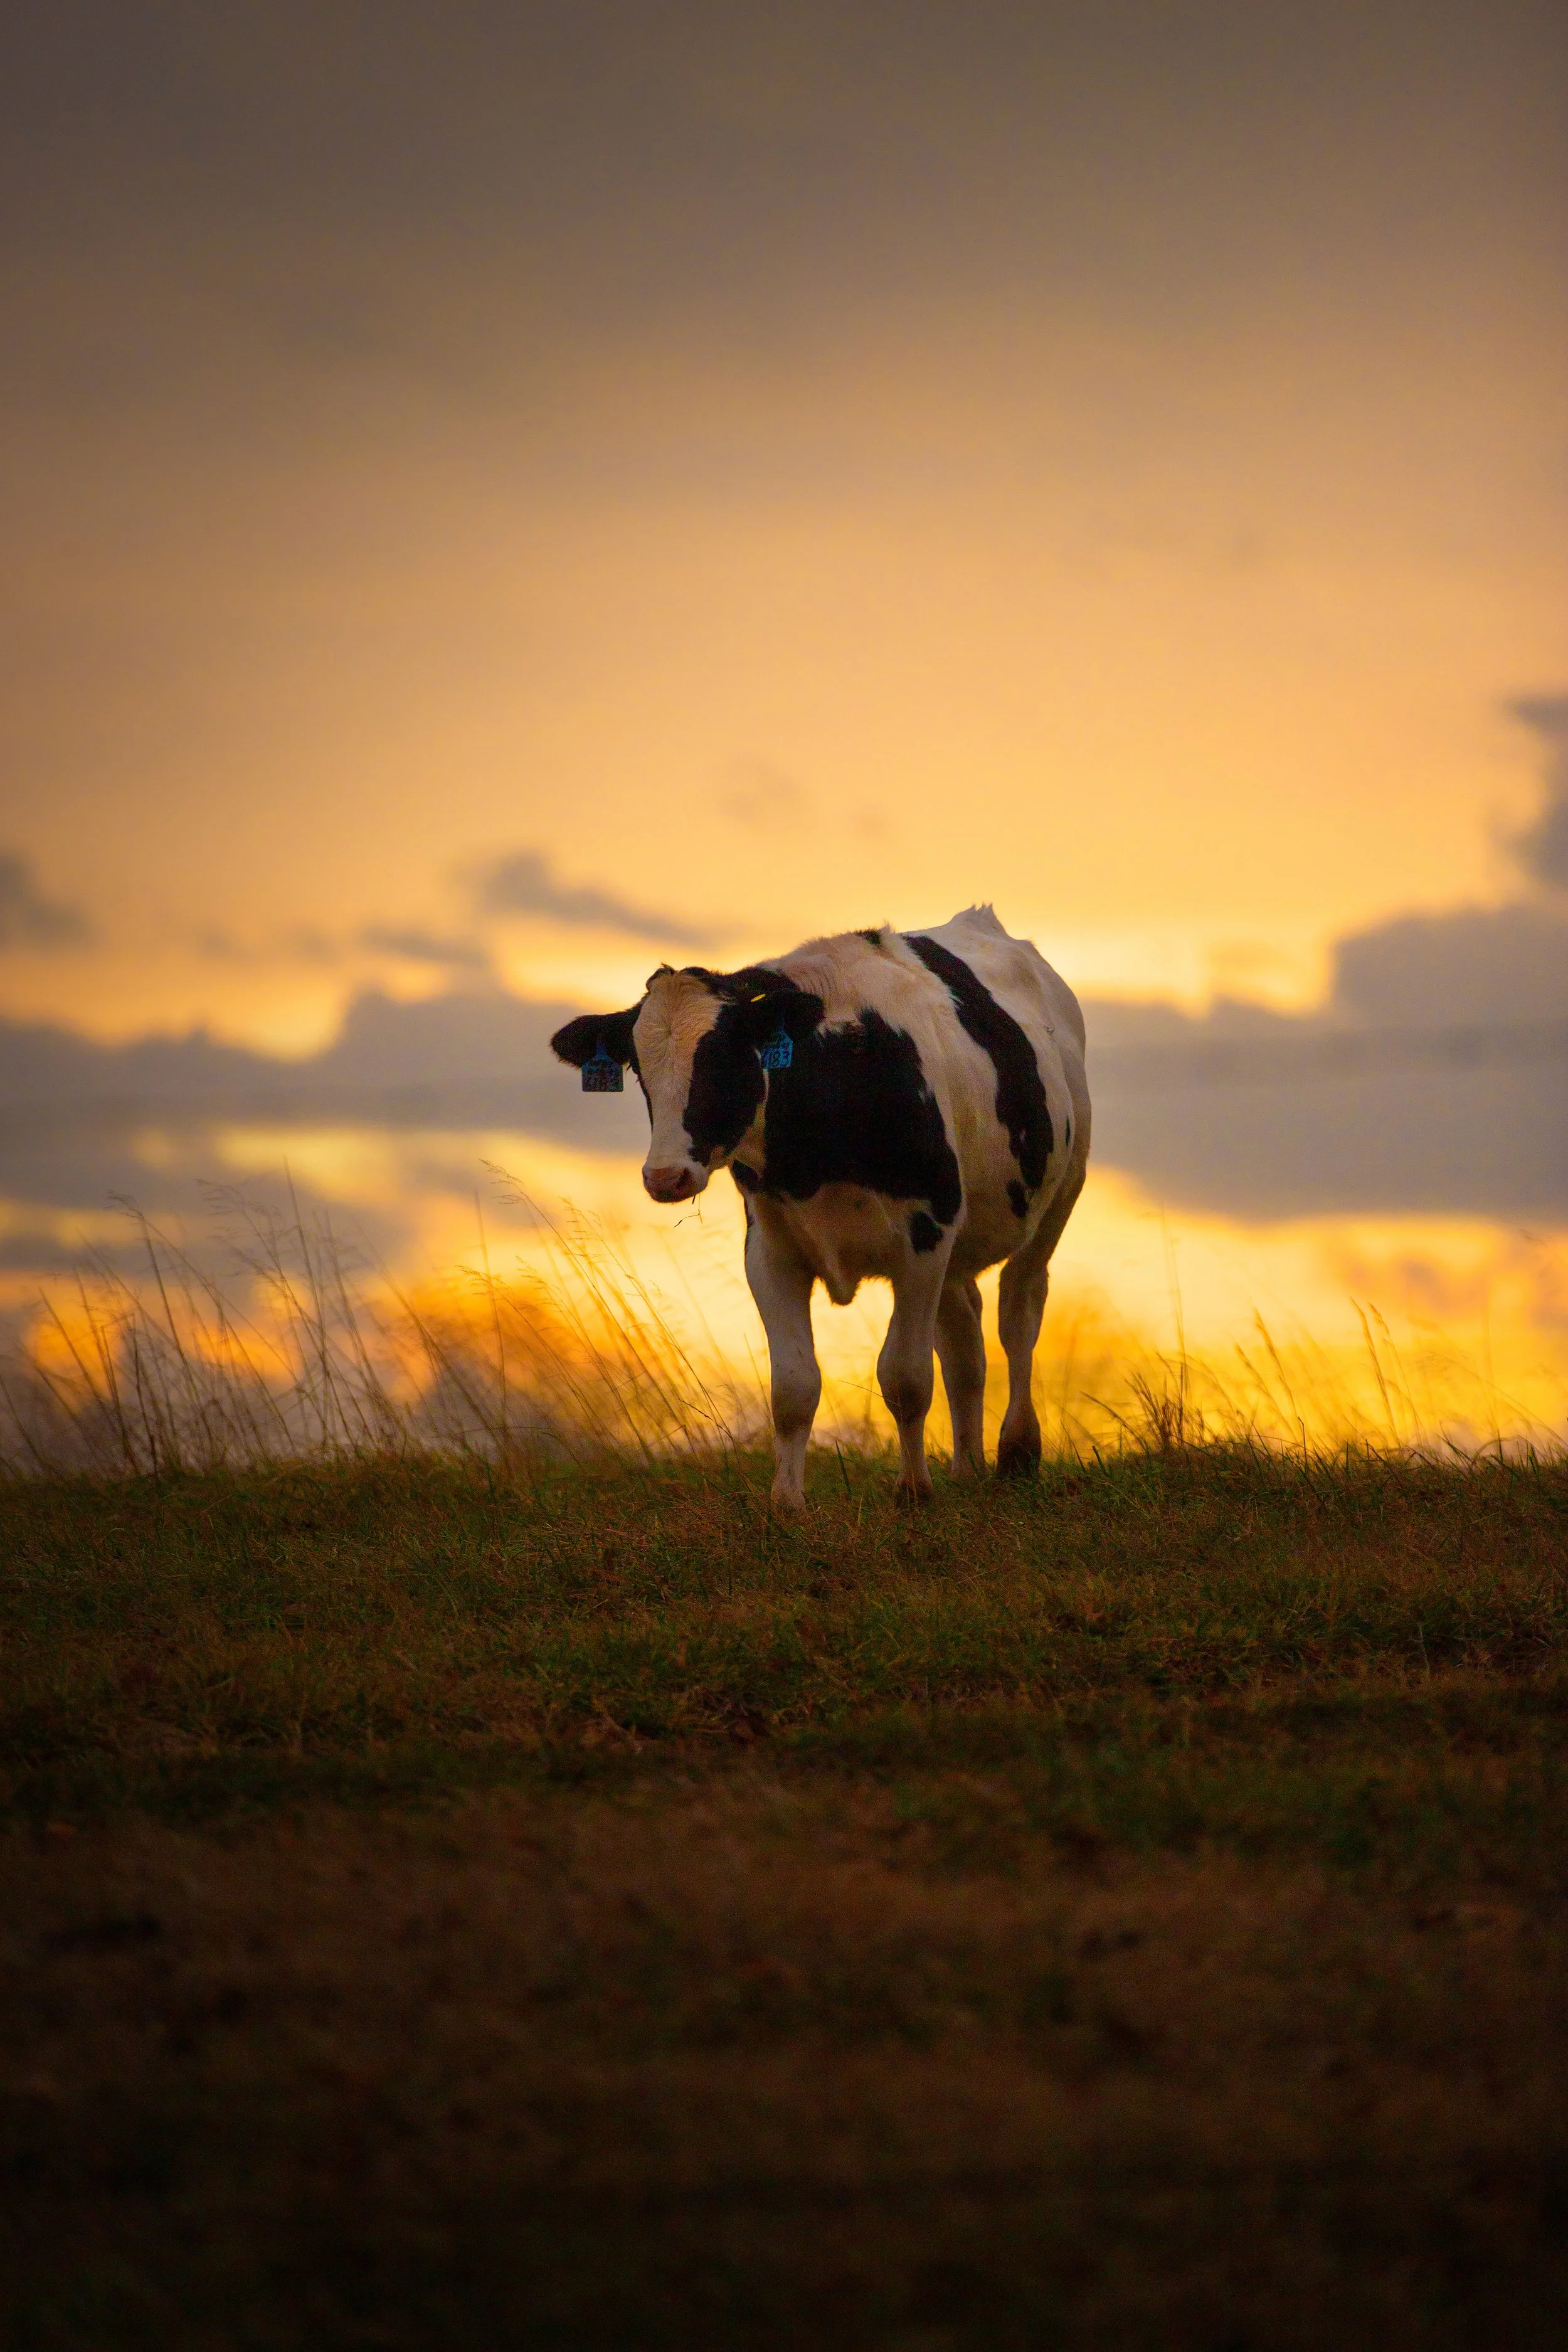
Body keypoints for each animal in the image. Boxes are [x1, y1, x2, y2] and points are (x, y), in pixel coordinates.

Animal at [551, 905, 1089, 1512]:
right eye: (640, 1070)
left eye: (724, 1060)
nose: (666, 1176)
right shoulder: (771, 1252)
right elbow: (794, 1386)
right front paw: (787, 1503)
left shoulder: (923, 1240)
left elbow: (905, 1377)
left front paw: (913, 1492)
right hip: (958, 1247)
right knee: (963, 1346)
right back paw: (967, 1469)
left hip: (1058, 1199)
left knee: (1018, 1313)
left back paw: (1017, 1451)